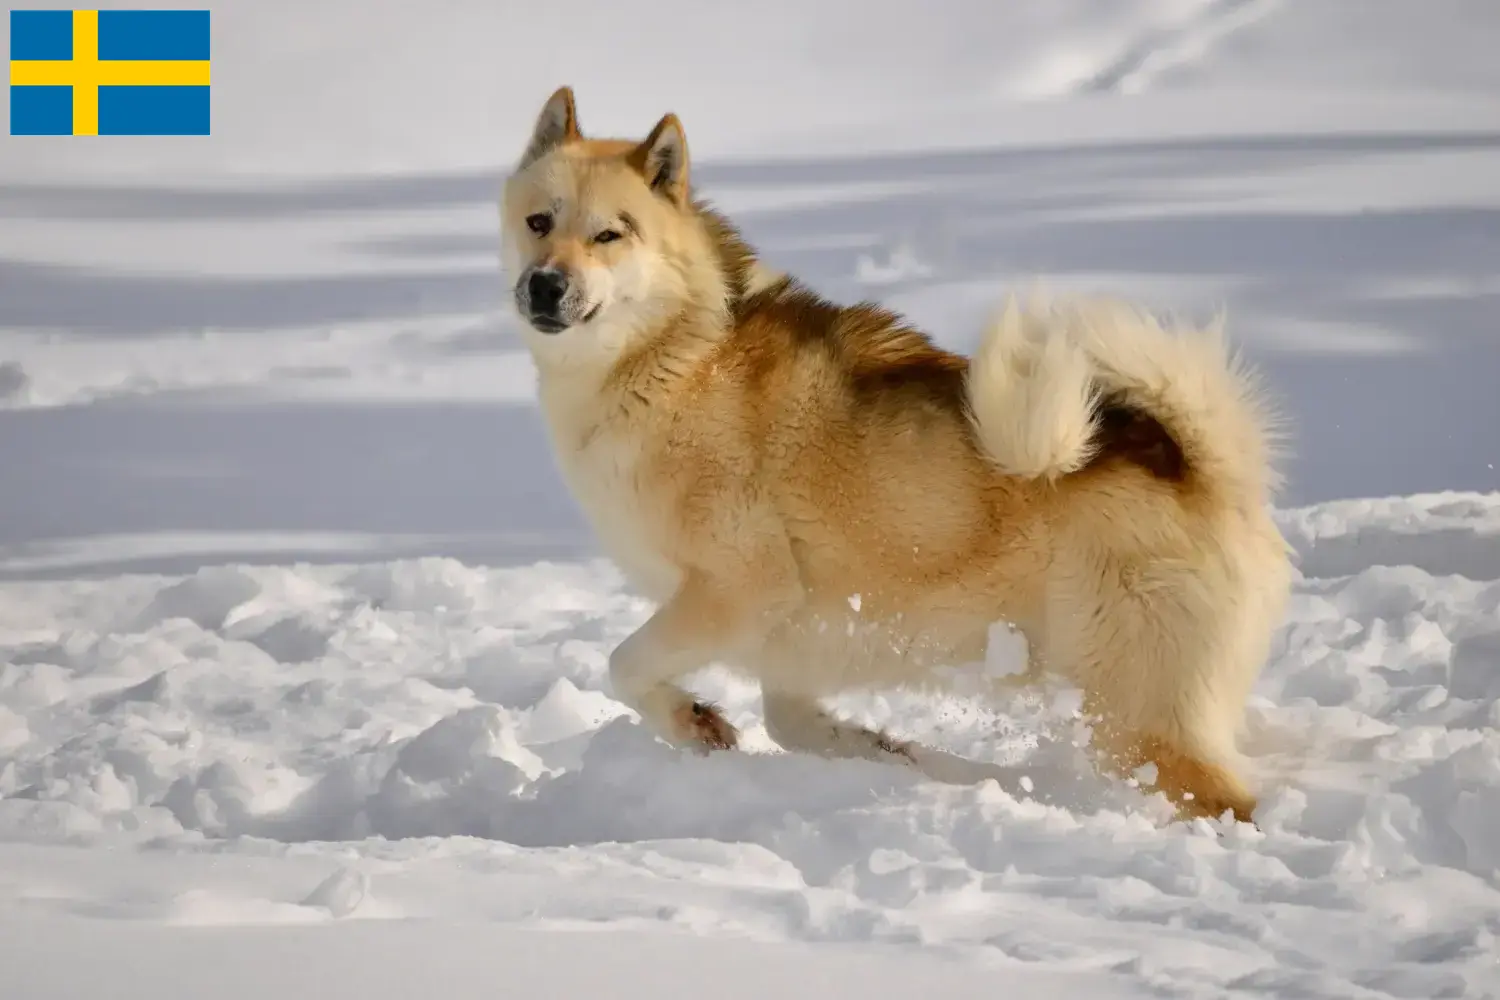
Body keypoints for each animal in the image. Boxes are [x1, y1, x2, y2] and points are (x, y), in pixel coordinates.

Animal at [498, 88, 1296, 821]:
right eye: (540, 222)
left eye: (610, 234)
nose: (545, 284)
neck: (673, 355)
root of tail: (1198, 466)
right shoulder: (793, 638)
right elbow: (797, 725)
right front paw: (889, 755)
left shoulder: (742, 588)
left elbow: (624, 664)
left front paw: (691, 720)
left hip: (1135, 717)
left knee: (1224, 801)